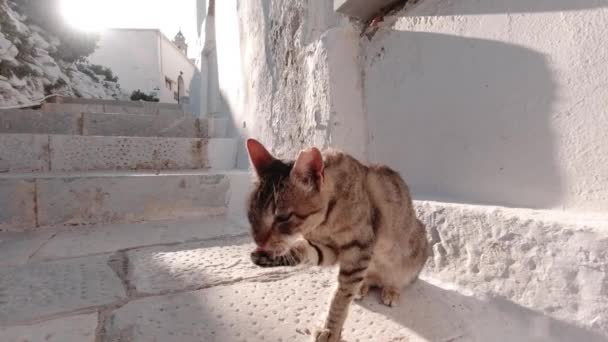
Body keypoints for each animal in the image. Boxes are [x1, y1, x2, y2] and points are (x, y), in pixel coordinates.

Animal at [245, 139, 430, 342]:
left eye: (283, 217)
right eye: (251, 215)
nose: (259, 241)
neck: (322, 224)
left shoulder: (358, 250)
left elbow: (340, 296)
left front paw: (330, 331)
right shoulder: (329, 249)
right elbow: (302, 249)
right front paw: (272, 257)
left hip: (410, 253)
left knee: (397, 279)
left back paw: (390, 291)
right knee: (369, 278)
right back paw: (362, 286)